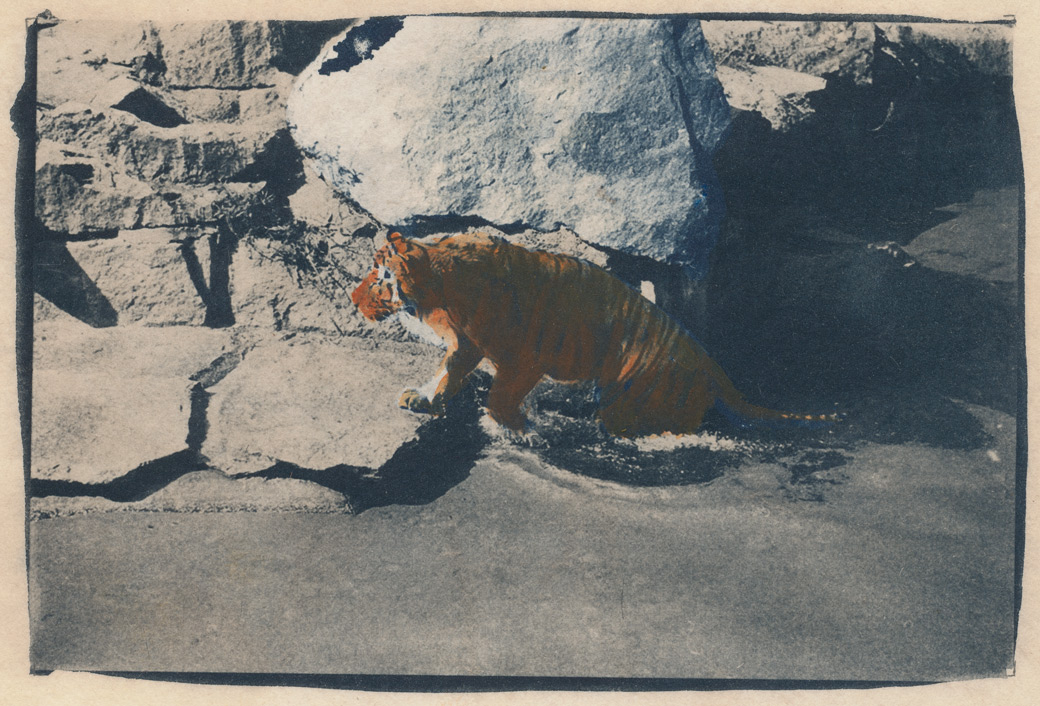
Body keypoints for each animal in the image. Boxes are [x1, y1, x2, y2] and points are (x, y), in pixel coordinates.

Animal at [351, 231, 840, 438]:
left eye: (379, 278)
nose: (353, 298)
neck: (440, 288)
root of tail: (709, 362)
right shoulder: (467, 347)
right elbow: (446, 375)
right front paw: (422, 398)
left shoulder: (521, 357)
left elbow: (498, 395)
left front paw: (519, 429)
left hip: (634, 403)